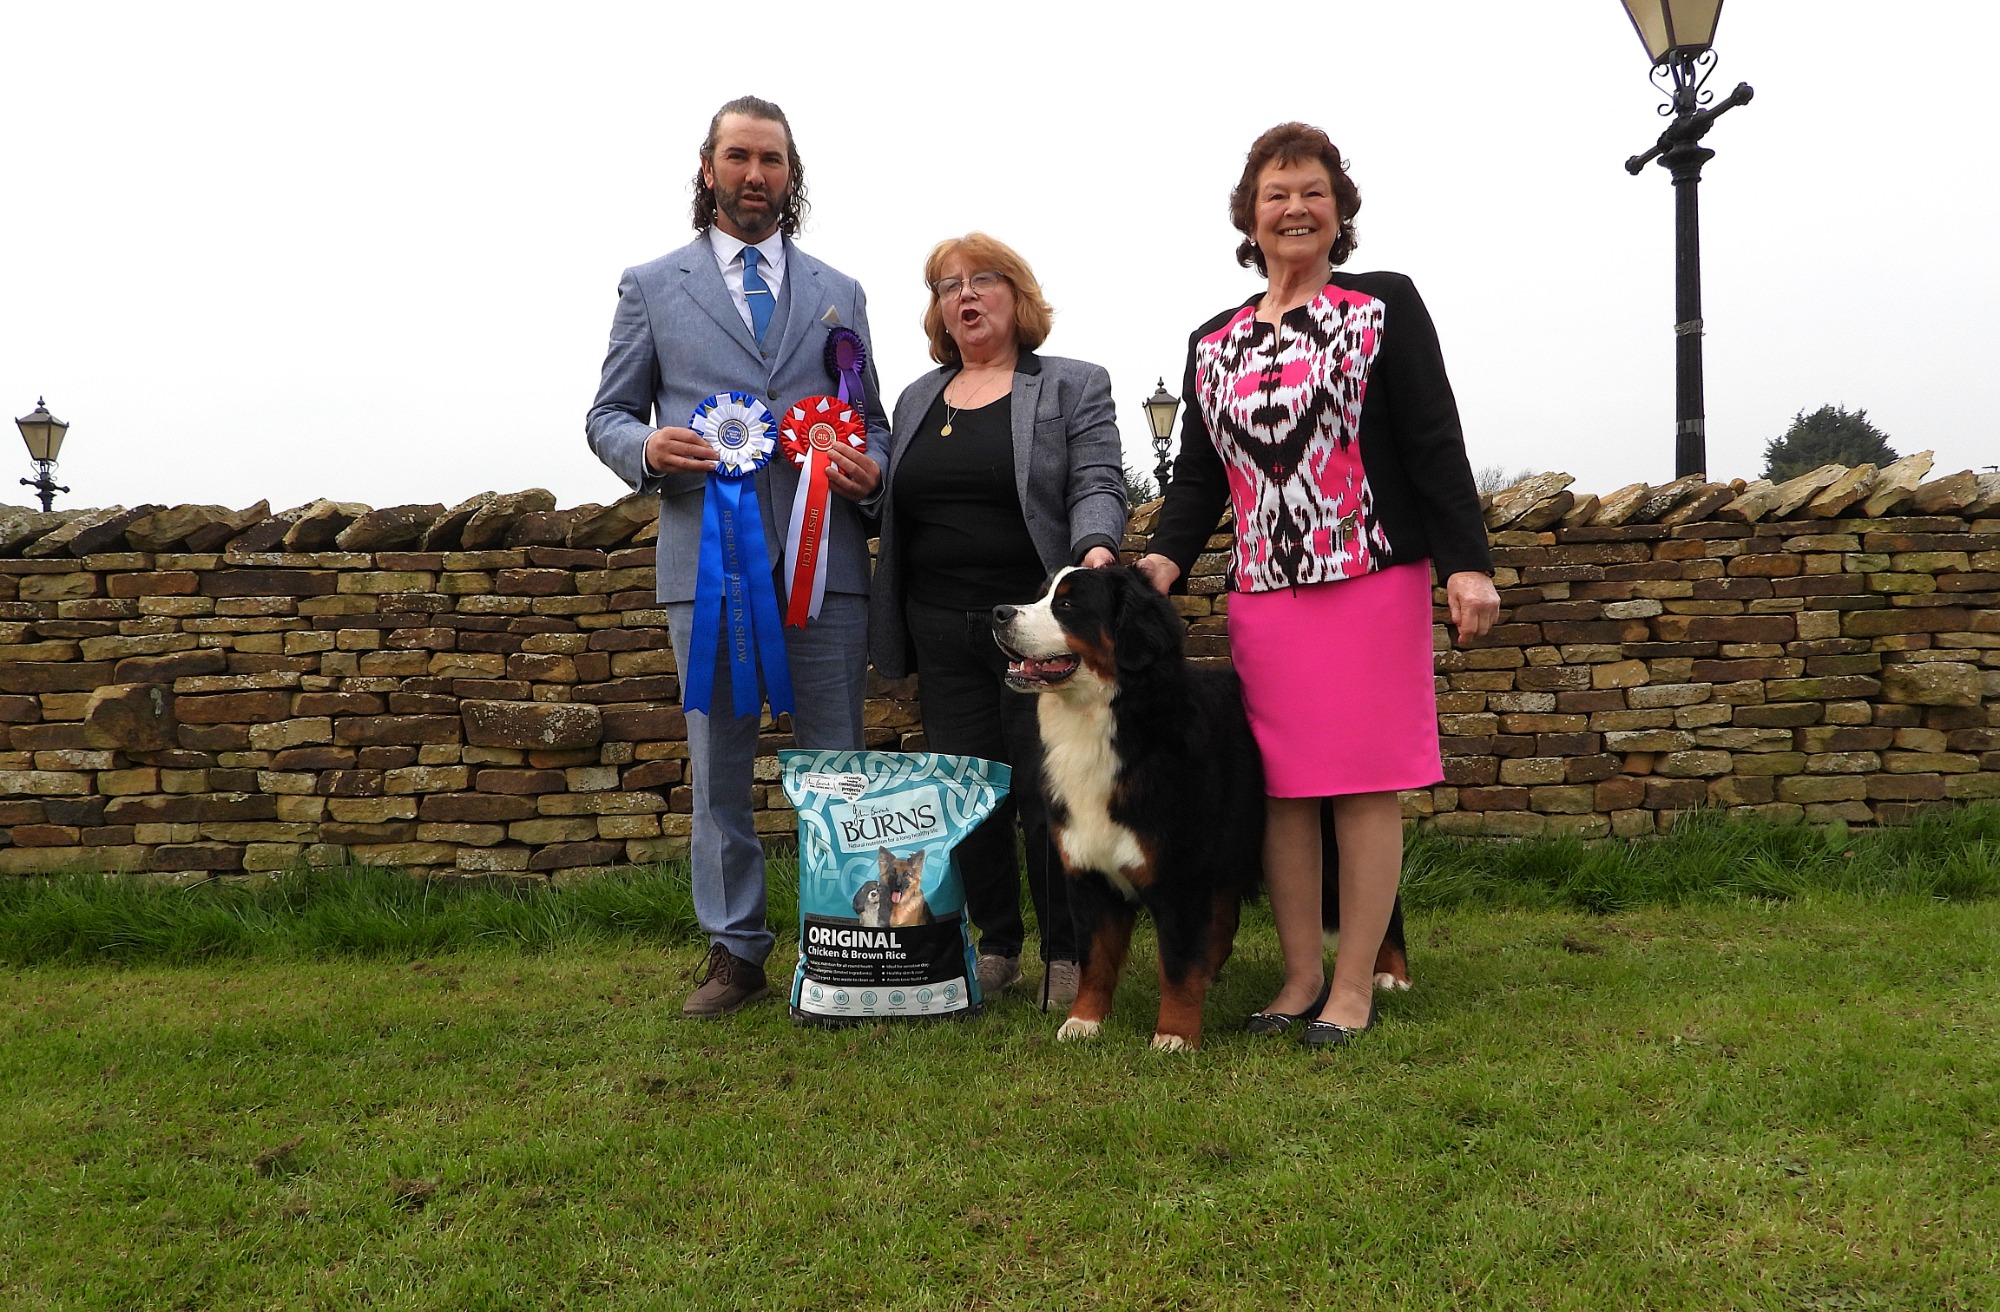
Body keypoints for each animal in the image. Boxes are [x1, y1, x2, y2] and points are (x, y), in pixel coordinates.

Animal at [992, 565, 1407, 1051]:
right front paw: (1084, 1022)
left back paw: (1392, 975)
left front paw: (1174, 1035)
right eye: (1040, 595)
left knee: (1380, 896)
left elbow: (1175, 963)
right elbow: (1095, 959)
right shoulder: (1089, 873)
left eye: (1068, 605)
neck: (1112, 724)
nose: (999, 612)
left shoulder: (1180, 876)